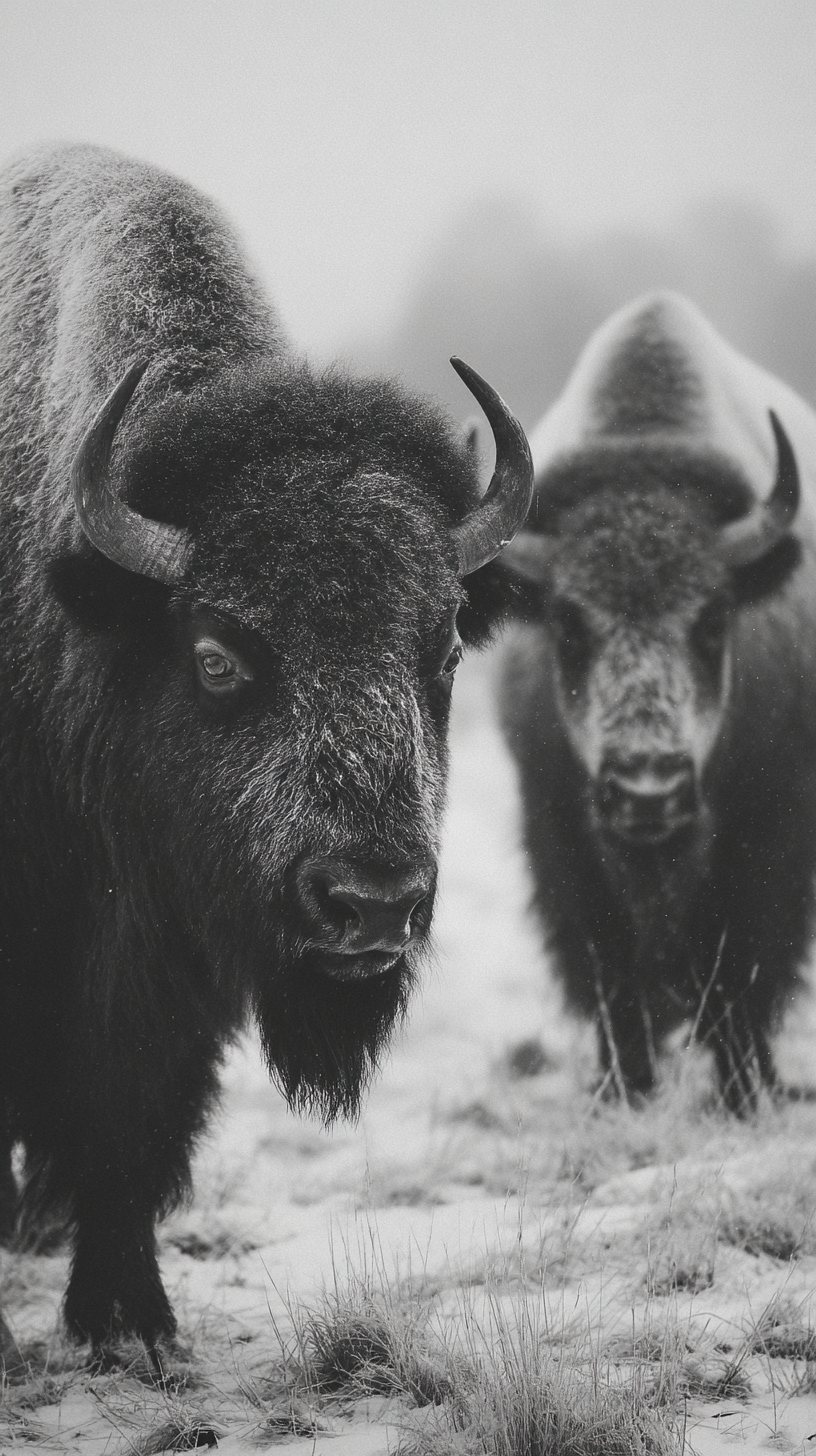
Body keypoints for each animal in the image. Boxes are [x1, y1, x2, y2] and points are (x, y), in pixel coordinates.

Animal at [0, 144, 532, 1352]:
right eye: (215, 656)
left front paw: (131, 1324)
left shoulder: (166, 958)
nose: (372, 904)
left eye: (444, 646)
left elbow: (133, 1117)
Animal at [499, 291, 816, 1110]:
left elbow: (743, 974)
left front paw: (745, 1094)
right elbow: (611, 977)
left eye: (713, 620)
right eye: (567, 626)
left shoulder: (769, 837)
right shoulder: (561, 837)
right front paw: (623, 1091)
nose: (648, 790)